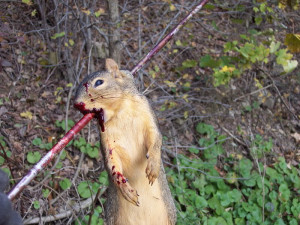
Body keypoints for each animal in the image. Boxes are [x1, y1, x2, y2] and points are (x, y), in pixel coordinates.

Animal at [74, 59, 176, 224]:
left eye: (99, 82)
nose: (76, 104)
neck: (120, 112)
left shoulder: (147, 115)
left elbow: (155, 138)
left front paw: (153, 165)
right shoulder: (108, 141)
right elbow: (112, 164)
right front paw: (126, 190)